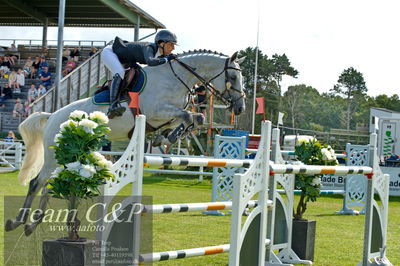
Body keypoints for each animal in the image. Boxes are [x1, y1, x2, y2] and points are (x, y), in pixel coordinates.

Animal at [6, 50, 247, 235]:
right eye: (233, 77)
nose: (240, 108)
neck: (174, 79)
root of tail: (52, 115)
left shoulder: (167, 116)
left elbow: (195, 118)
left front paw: (166, 137)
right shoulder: (156, 112)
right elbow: (188, 116)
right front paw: (167, 137)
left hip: (70, 156)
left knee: (51, 184)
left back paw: (34, 224)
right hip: (53, 156)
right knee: (37, 182)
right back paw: (18, 221)